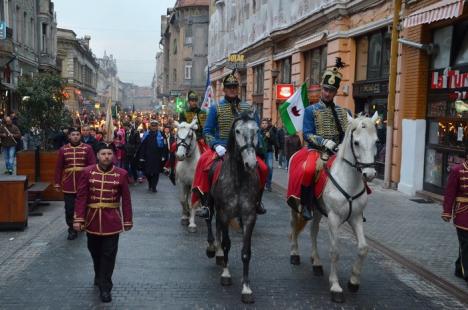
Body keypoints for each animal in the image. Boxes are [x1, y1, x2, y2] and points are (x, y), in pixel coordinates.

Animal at [290, 111, 378, 302]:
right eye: (356, 142)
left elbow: (363, 248)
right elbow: (335, 250)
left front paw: (353, 281)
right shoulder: (333, 218)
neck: (348, 181)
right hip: (295, 205)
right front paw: (336, 287)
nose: (369, 174)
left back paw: (316, 263)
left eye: (376, 141)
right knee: (293, 227)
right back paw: (294, 254)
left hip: (317, 211)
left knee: (313, 232)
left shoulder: (356, 217)